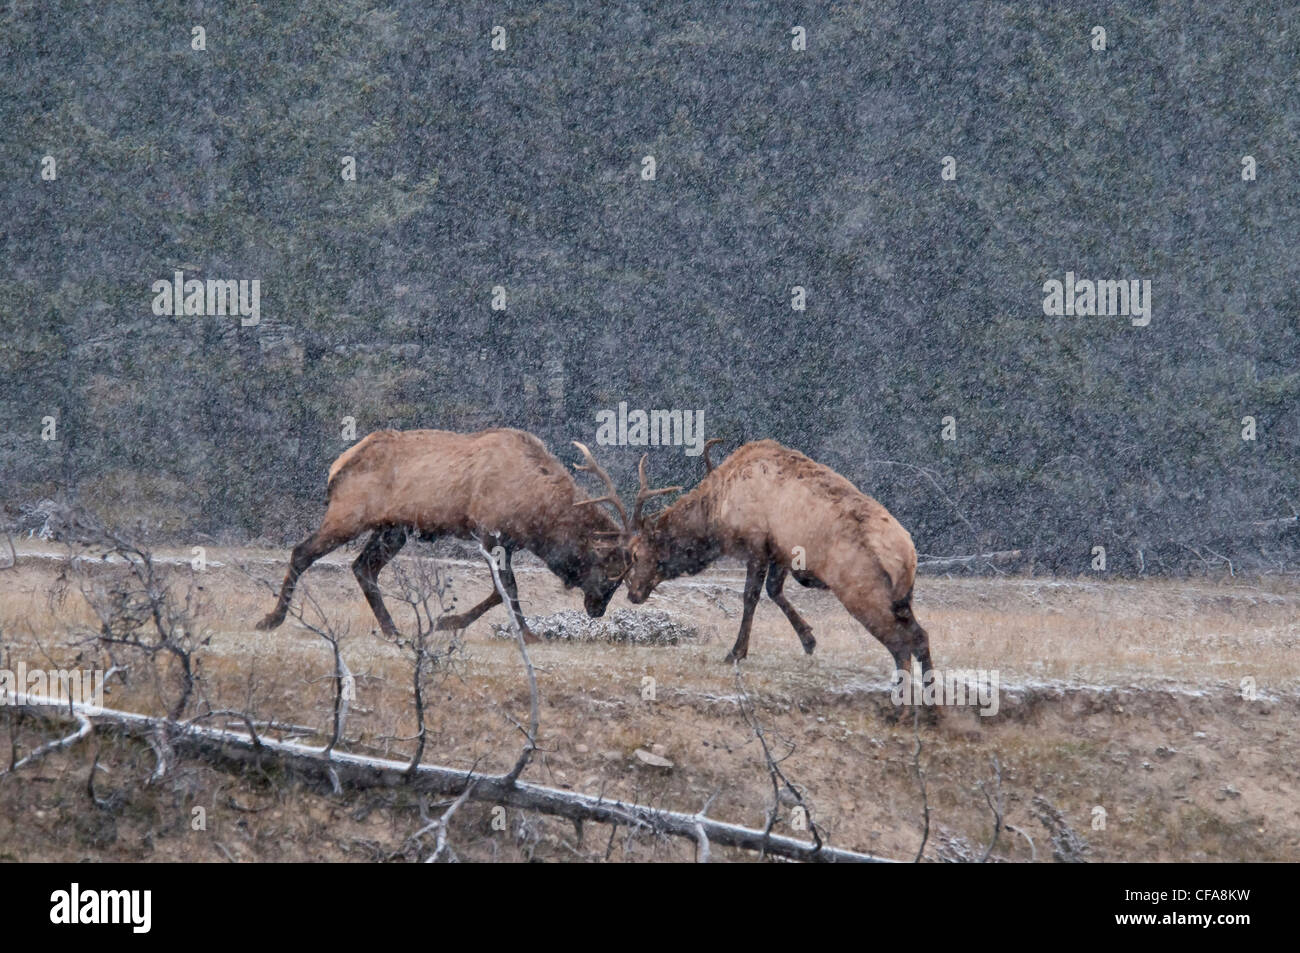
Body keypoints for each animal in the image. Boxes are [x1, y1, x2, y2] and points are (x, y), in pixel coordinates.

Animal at [252, 429, 629, 639]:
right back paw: (271, 619)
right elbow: (507, 588)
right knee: (303, 551)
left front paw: (445, 622)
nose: (597, 610)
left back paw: (392, 629)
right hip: (348, 514)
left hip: (393, 529)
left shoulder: (506, 541)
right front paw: (525, 633)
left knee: (363, 567)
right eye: (610, 572)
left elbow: (500, 590)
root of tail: (336, 467)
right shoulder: (488, 530)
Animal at [621, 439, 935, 676]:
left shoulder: (757, 543)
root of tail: (909, 554)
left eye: (636, 554)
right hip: (902, 598)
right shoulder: (781, 551)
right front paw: (808, 639)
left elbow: (751, 597)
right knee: (920, 636)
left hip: (864, 594)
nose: (633, 593)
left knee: (903, 643)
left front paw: (736, 652)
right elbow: (775, 590)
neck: (717, 512)